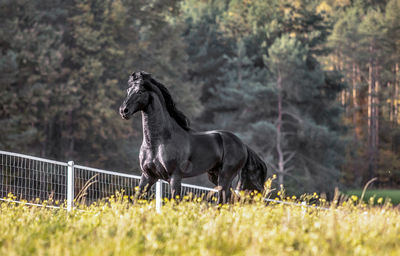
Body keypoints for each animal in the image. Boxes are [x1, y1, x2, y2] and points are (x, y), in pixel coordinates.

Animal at [119, 71, 268, 203]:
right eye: (128, 90)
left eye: (139, 92)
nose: (123, 111)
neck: (157, 143)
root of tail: (243, 145)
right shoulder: (148, 176)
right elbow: (135, 200)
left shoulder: (175, 177)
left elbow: (175, 203)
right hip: (215, 175)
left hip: (225, 177)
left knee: (223, 201)